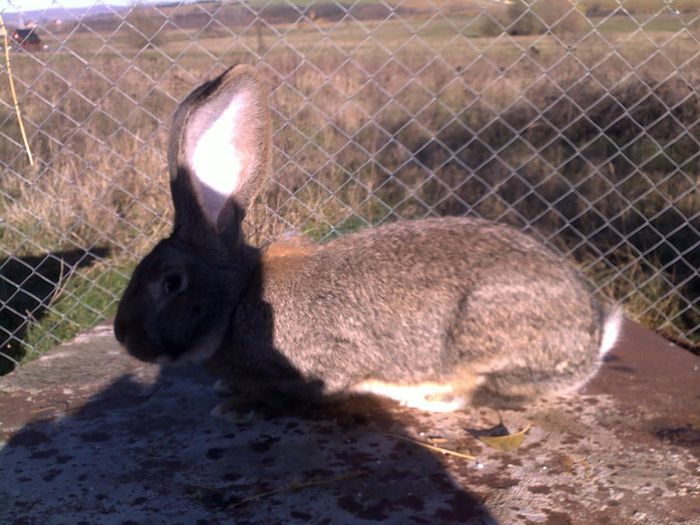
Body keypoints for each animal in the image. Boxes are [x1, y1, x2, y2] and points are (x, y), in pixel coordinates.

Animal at [115, 63, 624, 412]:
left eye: (171, 282)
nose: (123, 336)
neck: (239, 296)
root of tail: (591, 339)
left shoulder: (322, 364)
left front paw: (238, 404)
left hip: (483, 336)